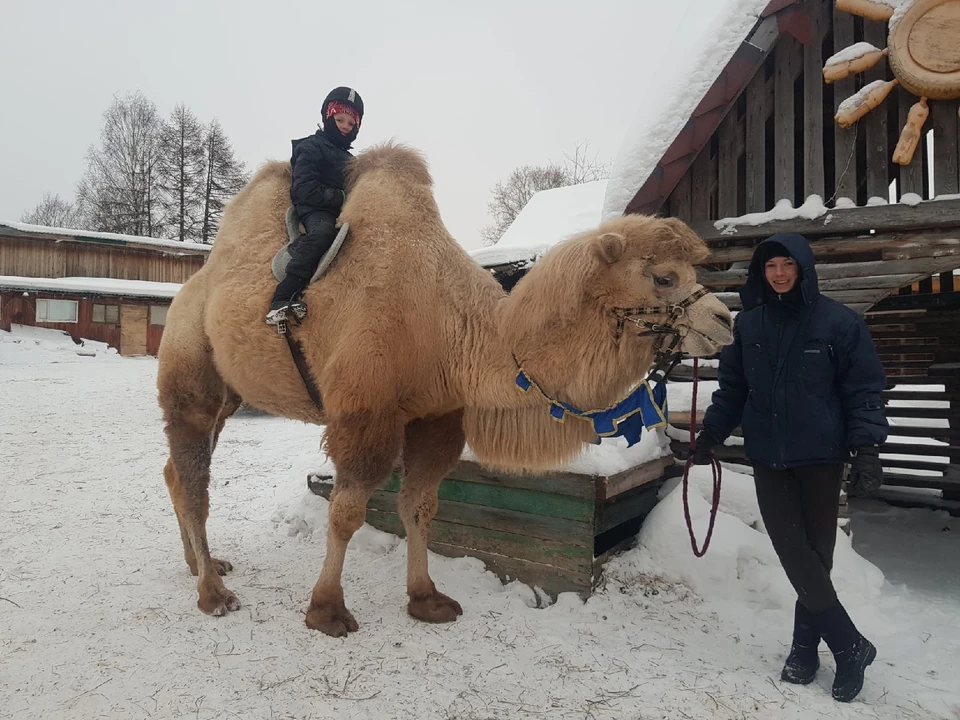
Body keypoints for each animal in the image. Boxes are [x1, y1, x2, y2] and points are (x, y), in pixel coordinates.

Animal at [156, 141, 736, 636]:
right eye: (662, 277)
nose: (725, 319)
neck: (450, 327)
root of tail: (189, 289)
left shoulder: (435, 415)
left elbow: (420, 507)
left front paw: (426, 599)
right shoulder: (366, 411)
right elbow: (346, 512)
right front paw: (327, 611)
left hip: (229, 394)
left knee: (175, 472)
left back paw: (198, 565)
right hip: (191, 369)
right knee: (194, 478)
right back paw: (213, 592)